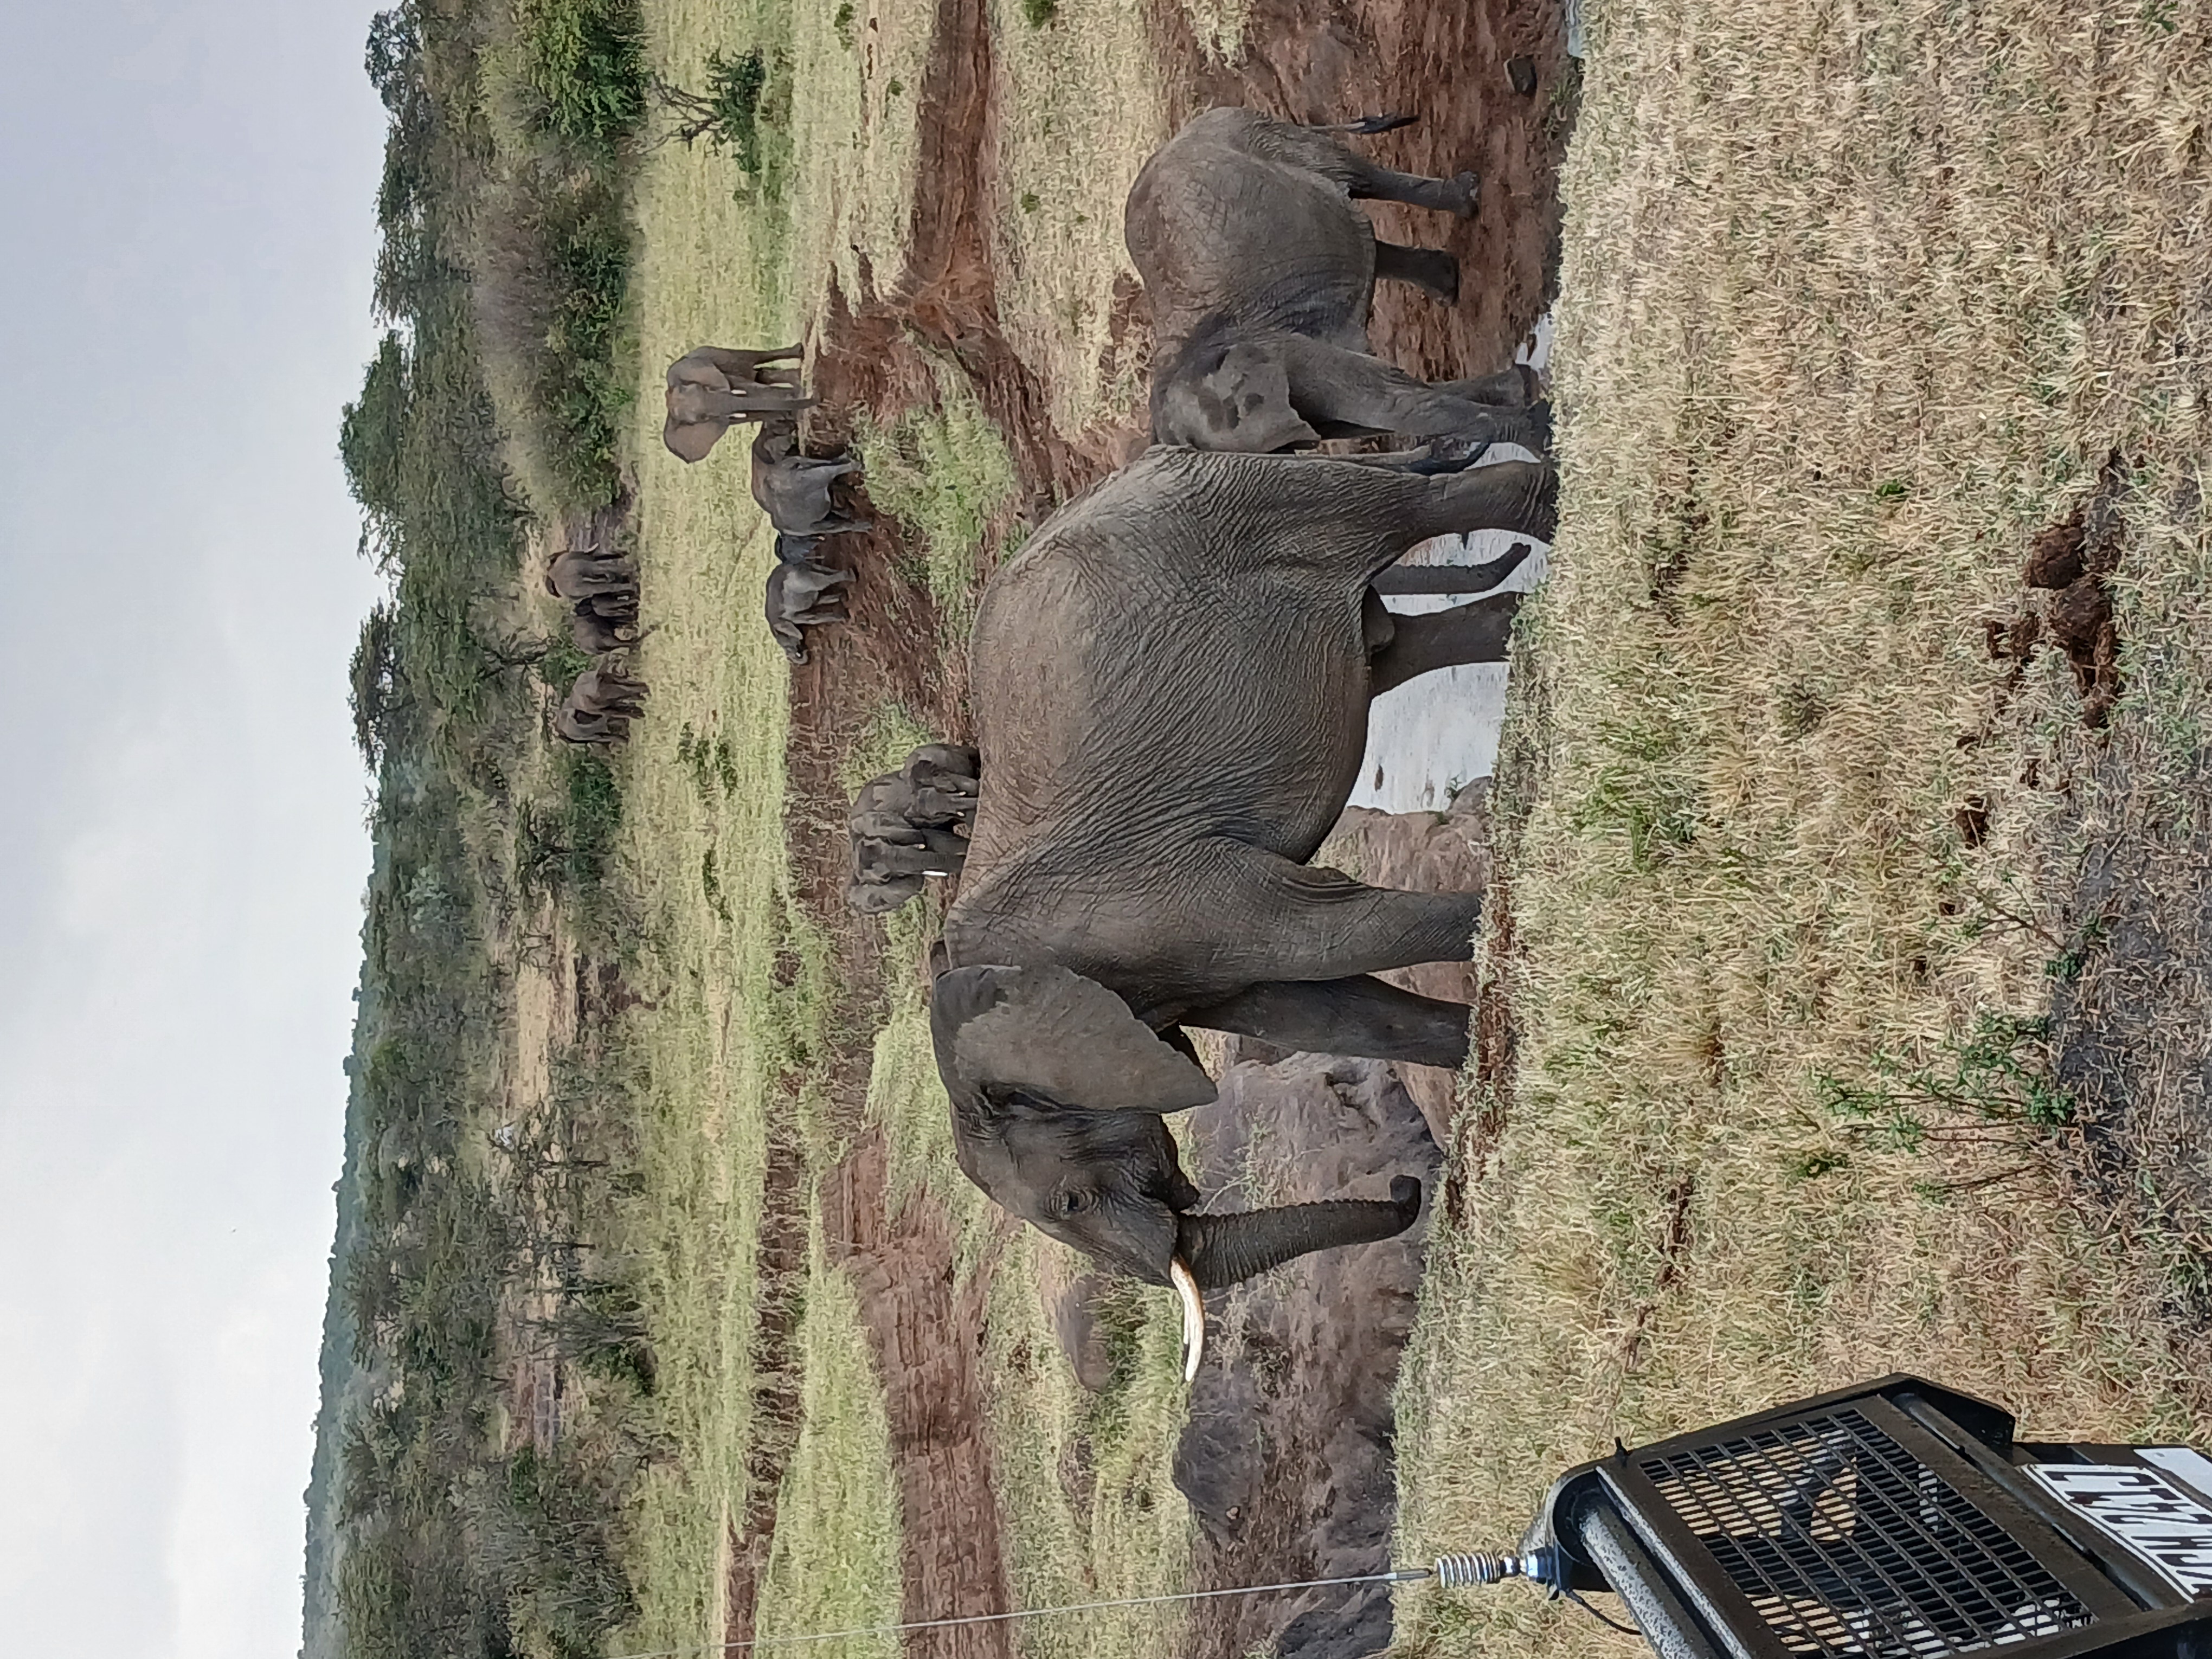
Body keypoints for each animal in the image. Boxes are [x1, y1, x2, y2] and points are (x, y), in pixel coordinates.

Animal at [663, 345, 818, 463]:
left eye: (706, 388)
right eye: (703, 418)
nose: (814, 396)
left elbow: (752, 388)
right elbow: (753, 411)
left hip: (723, 354)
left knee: (753, 358)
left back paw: (799, 355)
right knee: (761, 375)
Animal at [751, 420, 870, 535]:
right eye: (775, 431)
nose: (793, 426)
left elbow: (829, 463)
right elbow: (830, 469)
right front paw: (858, 464)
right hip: (814, 527)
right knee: (840, 526)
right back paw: (862, 525)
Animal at [764, 557, 851, 664]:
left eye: (787, 646)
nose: (804, 650)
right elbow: (814, 609)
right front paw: (842, 610)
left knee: (819, 581)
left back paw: (849, 575)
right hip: (809, 569)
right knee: (823, 571)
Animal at [927, 444, 1557, 1369]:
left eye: (1070, 1204)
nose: (1406, 1185)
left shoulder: (1165, 903)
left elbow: (1330, 938)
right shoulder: (1177, 973)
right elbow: (1333, 1010)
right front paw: (1475, 1059)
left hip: (1247, 501)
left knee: (1420, 509)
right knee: (1410, 642)